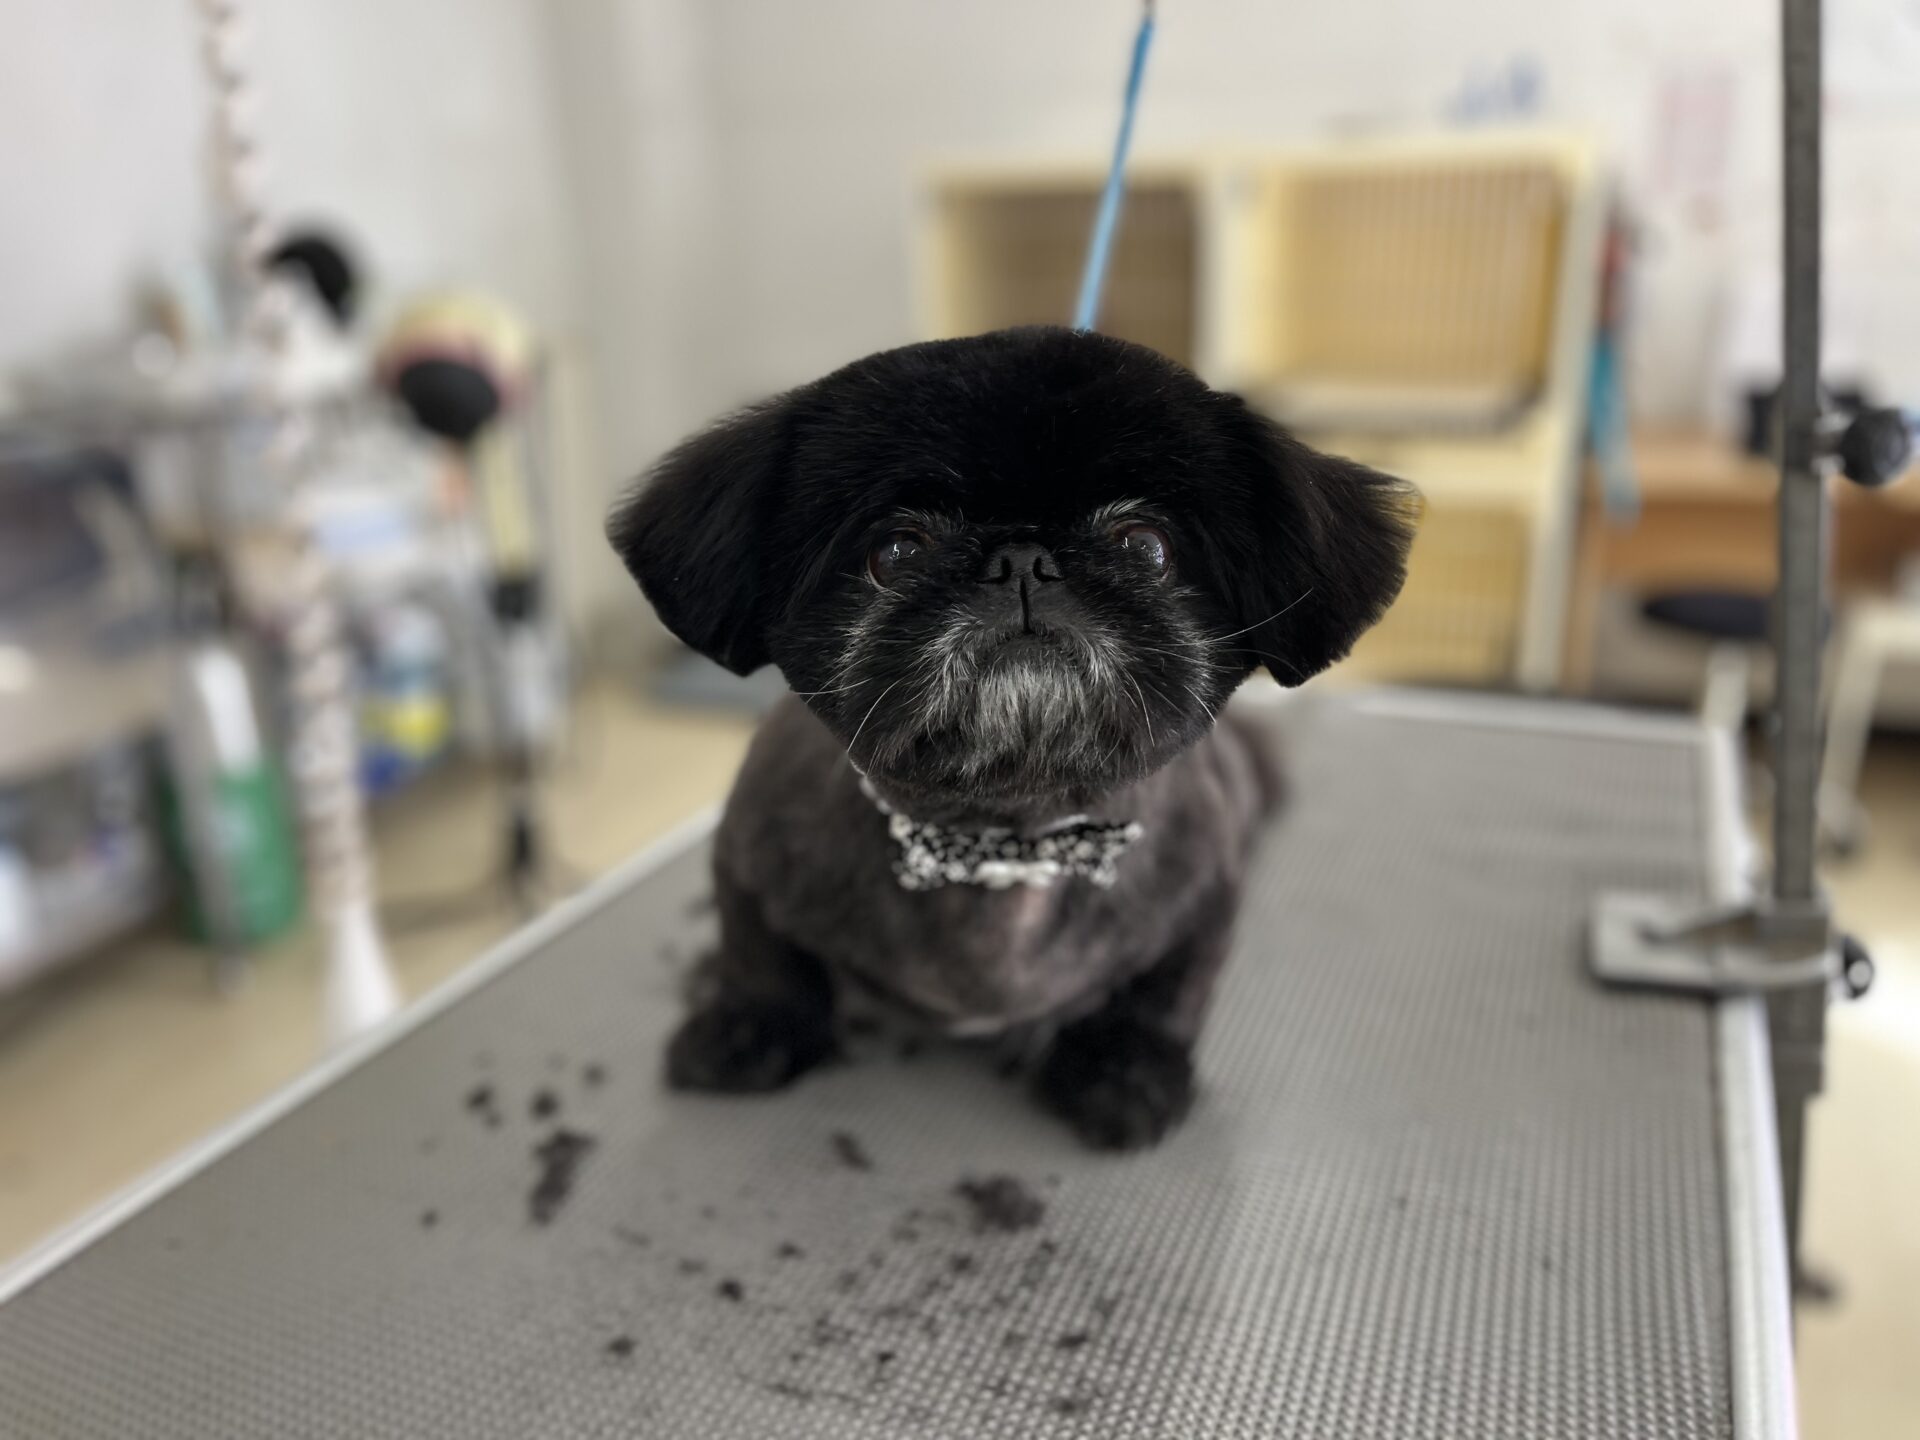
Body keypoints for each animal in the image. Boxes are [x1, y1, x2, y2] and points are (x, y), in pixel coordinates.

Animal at [609, 326, 1415, 1148]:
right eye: (896, 552)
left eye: (1145, 547)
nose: (1023, 558)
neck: (1002, 838)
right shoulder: (743, 848)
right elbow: (760, 954)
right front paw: (750, 1025)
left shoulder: (1207, 889)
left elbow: (1169, 987)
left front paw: (1126, 1067)